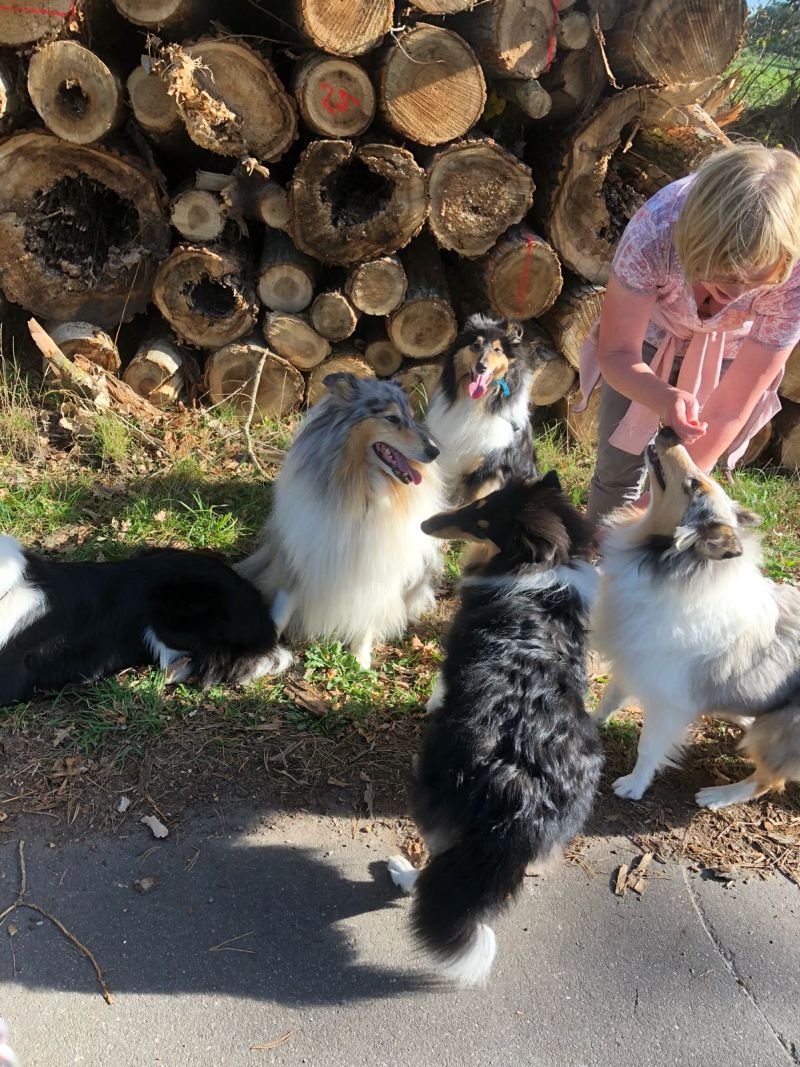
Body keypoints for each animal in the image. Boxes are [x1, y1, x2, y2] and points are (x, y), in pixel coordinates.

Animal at [237, 374, 443, 669]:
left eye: (412, 417)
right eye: (392, 418)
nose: (434, 452)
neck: (363, 490)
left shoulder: (378, 570)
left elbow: (367, 616)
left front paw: (360, 659)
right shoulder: (299, 558)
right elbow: (282, 608)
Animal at [387, 473, 603, 985]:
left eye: (483, 521)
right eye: (482, 503)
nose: (427, 524)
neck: (545, 570)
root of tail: (519, 789)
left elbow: (440, 684)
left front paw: (430, 701)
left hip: (436, 797)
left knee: (434, 866)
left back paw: (402, 872)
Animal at [592, 426, 800, 810]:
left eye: (694, 485)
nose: (670, 430)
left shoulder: (667, 700)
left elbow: (649, 747)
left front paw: (633, 785)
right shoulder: (633, 659)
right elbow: (609, 699)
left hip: (780, 731)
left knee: (767, 779)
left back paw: (718, 795)